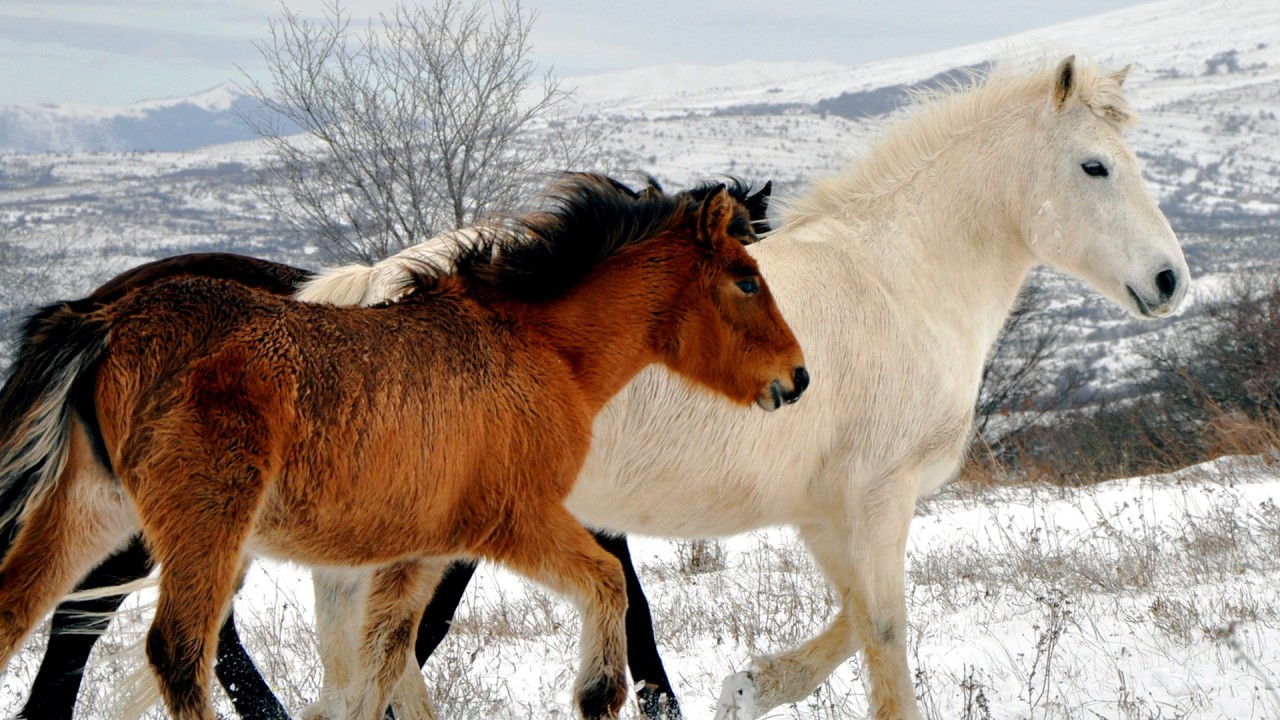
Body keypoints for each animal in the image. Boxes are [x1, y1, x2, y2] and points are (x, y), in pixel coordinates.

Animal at [0, 173, 809, 720]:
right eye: (746, 278)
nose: (797, 377)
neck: (537, 344)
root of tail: (101, 316)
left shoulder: (419, 549)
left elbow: (384, 661)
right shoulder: (516, 522)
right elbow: (617, 603)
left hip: (98, 512)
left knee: (30, 612)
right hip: (195, 522)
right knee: (169, 646)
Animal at [304, 56, 1188, 720]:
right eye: (1095, 165)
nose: (1170, 280)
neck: (898, 282)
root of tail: (366, 291)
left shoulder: (828, 512)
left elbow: (856, 621)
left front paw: (750, 687)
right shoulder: (879, 498)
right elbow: (886, 636)